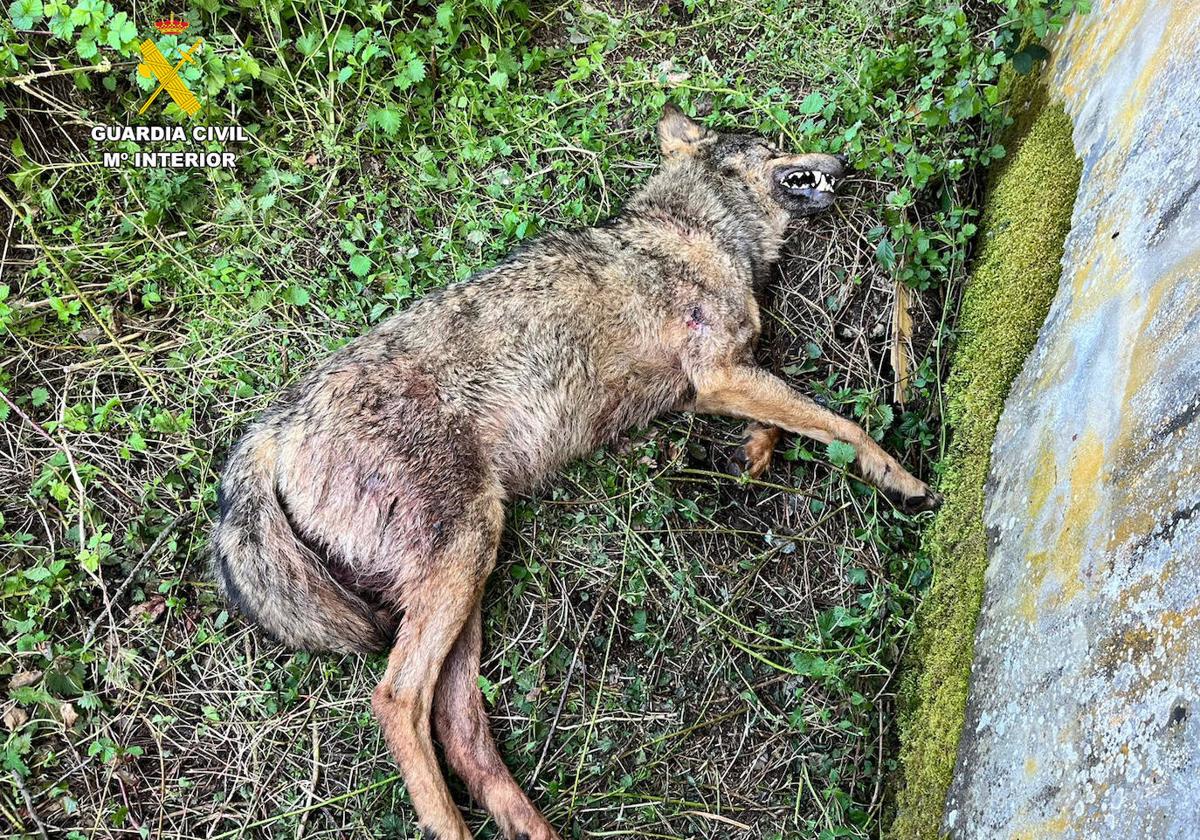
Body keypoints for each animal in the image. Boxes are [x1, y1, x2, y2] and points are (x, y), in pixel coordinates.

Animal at [211, 106, 940, 840]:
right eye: (774, 145)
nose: (844, 163)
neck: (699, 229)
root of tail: (277, 426)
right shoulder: (719, 372)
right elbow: (843, 425)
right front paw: (902, 479)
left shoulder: (713, 382)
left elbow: (790, 417)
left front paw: (753, 455)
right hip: (464, 555)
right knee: (397, 701)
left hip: (464, 585)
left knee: (461, 730)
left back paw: (532, 828)